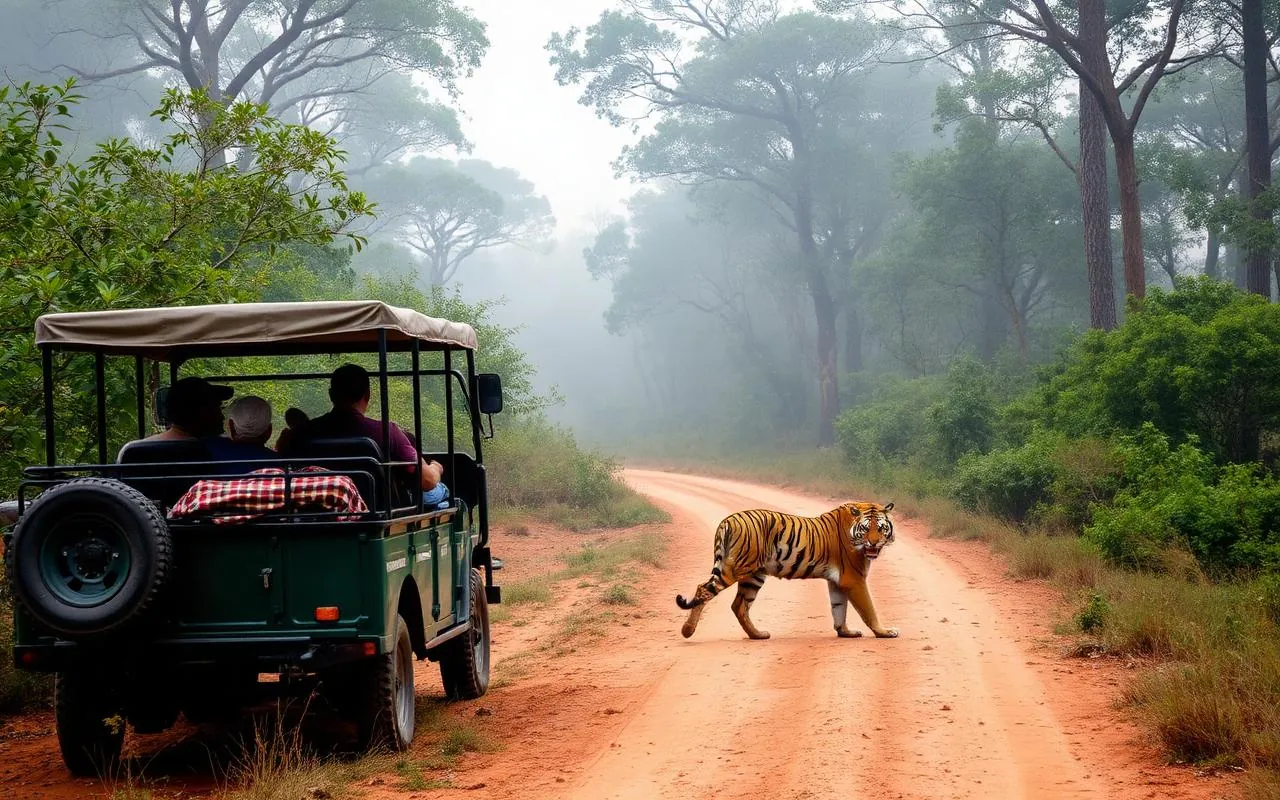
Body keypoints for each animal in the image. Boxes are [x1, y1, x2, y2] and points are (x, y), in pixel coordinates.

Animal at [675, 502, 898, 640]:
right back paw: (687, 631)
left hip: (753, 576)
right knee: (704, 589)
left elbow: (838, 608)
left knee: (739, 606)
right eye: (866, 528)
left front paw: (845, 632)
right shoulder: (853, 579)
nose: (874, 543)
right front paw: (884, 632)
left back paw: (758, 635)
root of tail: (727, 520)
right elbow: (868, 609)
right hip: (734, 568)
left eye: (880, 528)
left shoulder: (837, 581)